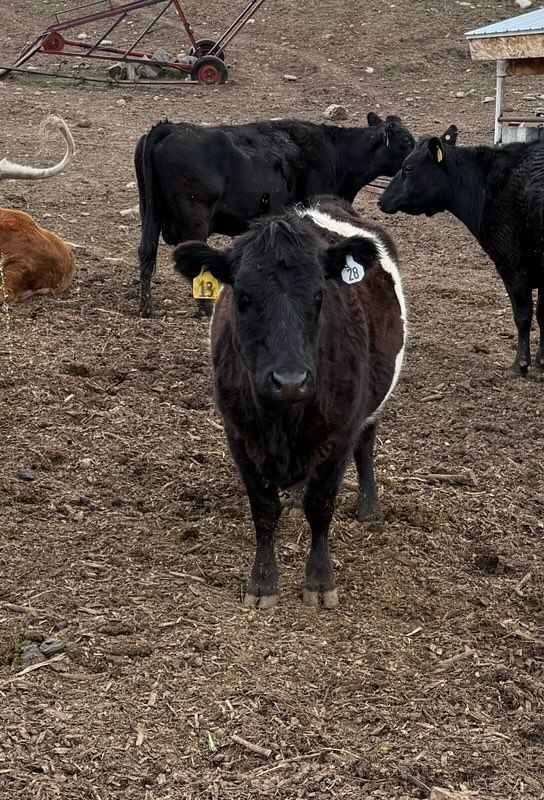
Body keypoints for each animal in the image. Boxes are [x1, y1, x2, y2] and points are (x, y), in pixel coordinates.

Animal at [135, 112, 415, 317]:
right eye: (405, 141)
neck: (334, 153)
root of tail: (170, 128)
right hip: (195, 219)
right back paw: (205, 308)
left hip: (150, 212)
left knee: (146, 252)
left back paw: (145, 306)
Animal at [172, 196, 406, 608]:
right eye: (244, 297)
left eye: (319, 295)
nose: (290, 381)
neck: (284, 417)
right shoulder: (238, 434)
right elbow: (265, 509)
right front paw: (263, 582)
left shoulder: (339, 435)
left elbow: (321, 506)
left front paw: (319, 580)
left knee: (367, 443)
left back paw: (368, 505)